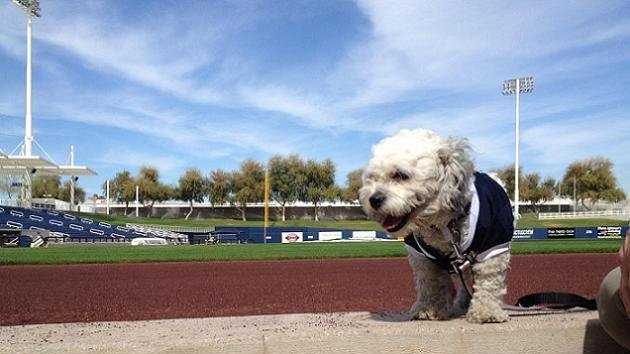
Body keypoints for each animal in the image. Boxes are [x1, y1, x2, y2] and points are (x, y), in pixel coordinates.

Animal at [360, 128, 512, 324]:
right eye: (372, 178)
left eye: (401, 175)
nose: (374, 199)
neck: (441, 224)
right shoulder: (421, 255)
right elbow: (430, 284)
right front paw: (429, 309)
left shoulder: (493, 246)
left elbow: (489, 281)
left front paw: (487, 311)